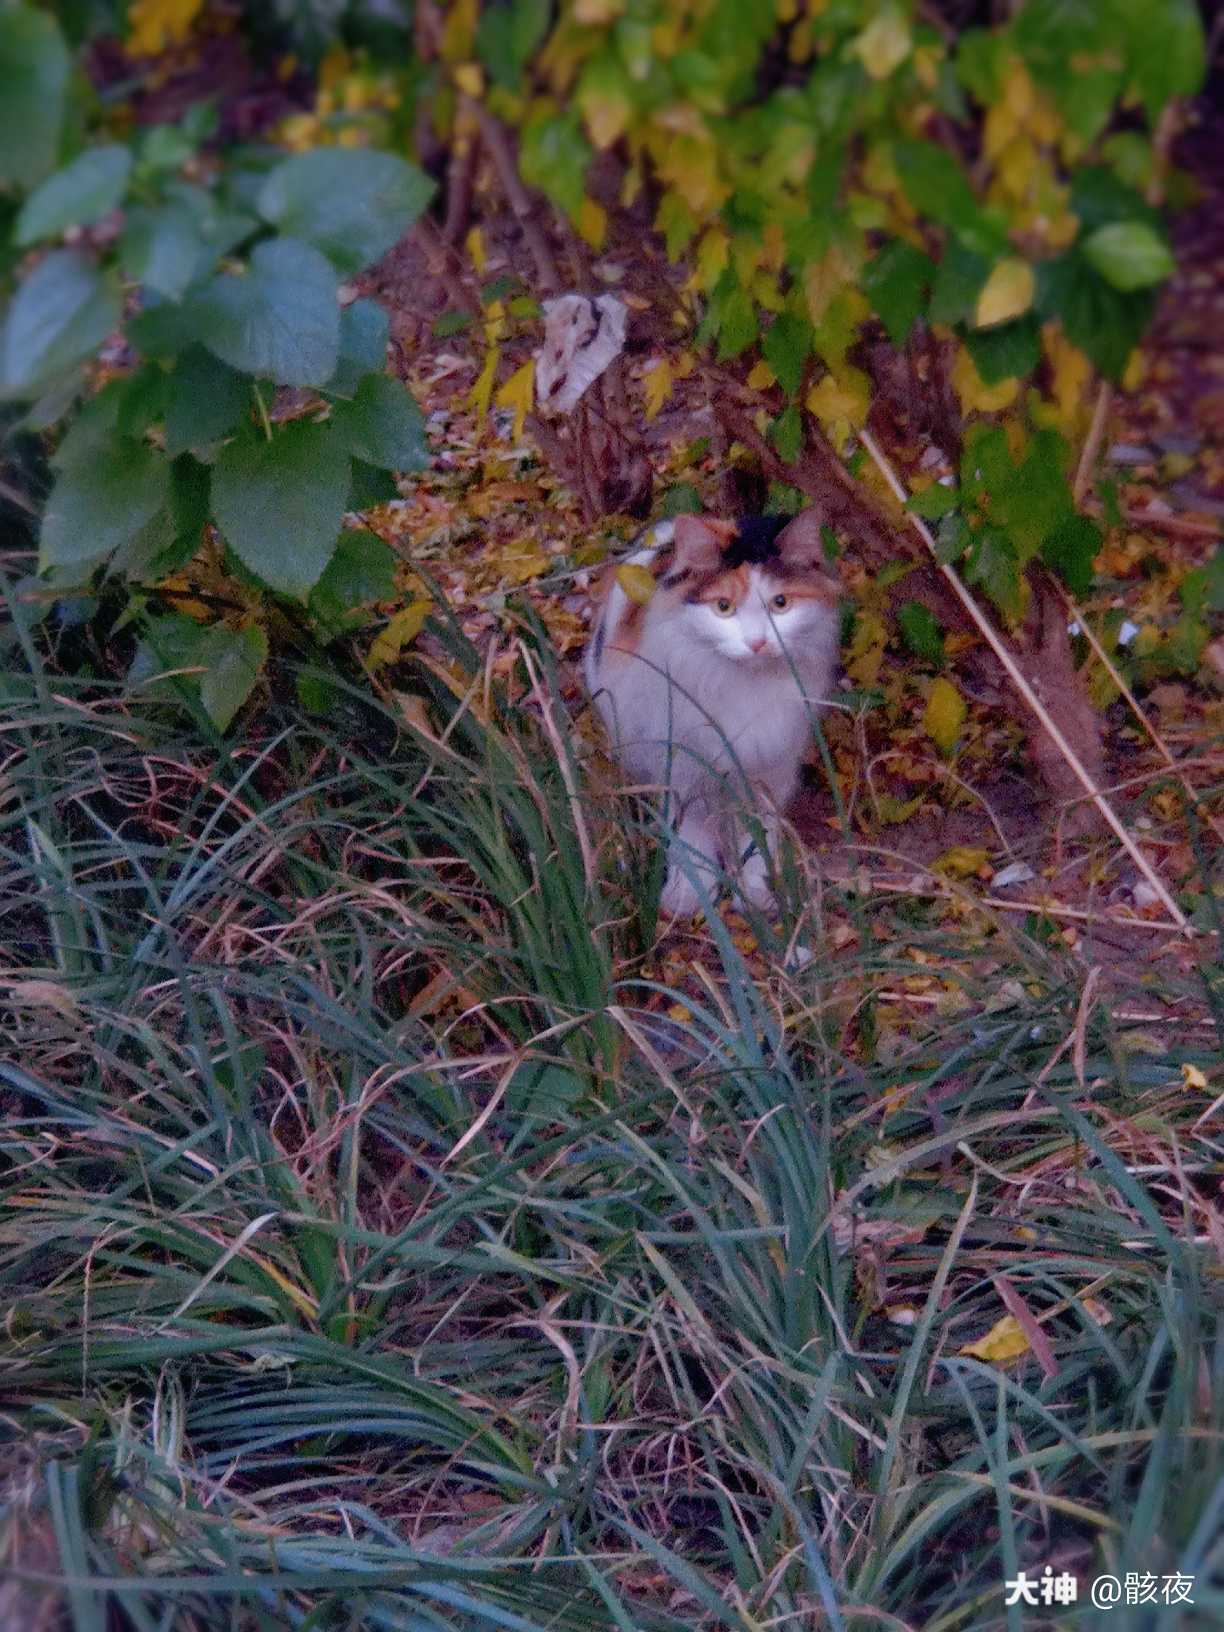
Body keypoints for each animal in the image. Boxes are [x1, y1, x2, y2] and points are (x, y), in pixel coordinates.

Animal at [587, 509, 842, 920]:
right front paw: (688, 892)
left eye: (781, 603)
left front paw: (758, 891)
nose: (757, 643)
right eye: (723, 607)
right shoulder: (684, 768)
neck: (742, 686)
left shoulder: (769, 769)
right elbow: (692, 834)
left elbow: (758, 835)